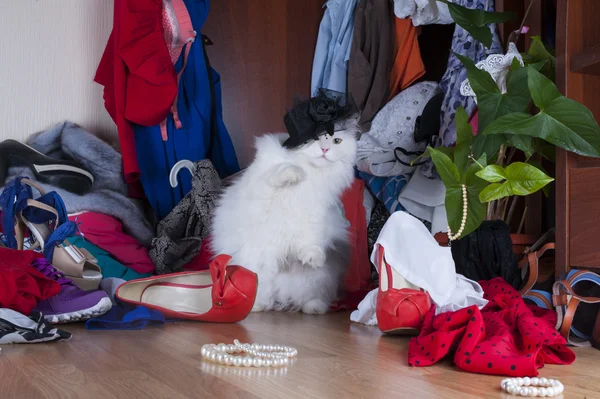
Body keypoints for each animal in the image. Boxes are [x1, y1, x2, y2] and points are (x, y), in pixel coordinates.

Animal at [211, 119, 358, 316]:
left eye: (336, 141)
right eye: (315, 138)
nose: (325, 149)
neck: (313, 174)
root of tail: (280, 298)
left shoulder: (315, 212)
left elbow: (310, 240)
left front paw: (313, 259)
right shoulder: (263, 184)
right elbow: (280, 171)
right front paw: (295, 174)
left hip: (317, 281)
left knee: (310, 298)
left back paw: (314, 308)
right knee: (263, 296)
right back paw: (257, 307)